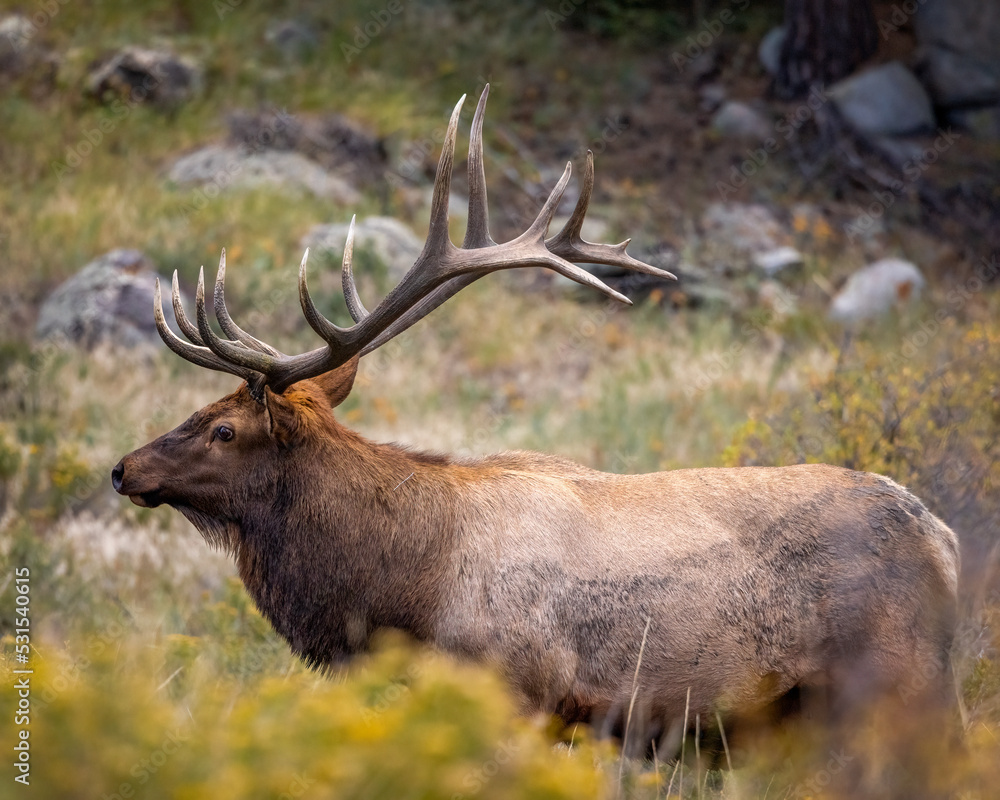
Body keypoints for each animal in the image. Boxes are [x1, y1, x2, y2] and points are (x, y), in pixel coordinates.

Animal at [111, 87, 960, 752]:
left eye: (224, 430)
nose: (123, 468)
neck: (405, 593)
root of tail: (944, 538)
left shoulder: (520, 692)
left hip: (897, 679)